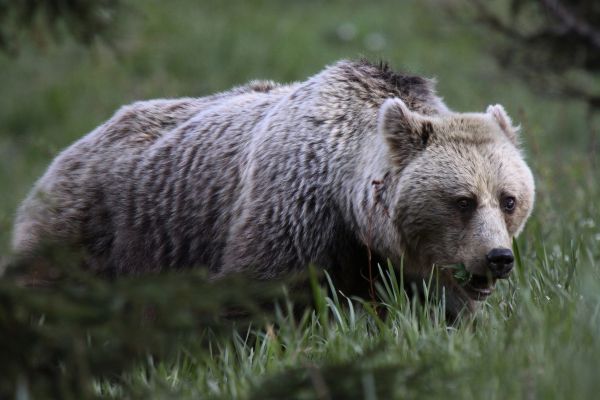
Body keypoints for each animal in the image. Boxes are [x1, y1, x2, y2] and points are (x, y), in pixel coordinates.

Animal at [10, 60, 536, 318]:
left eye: (509, 200)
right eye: (462, 201)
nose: (497, 258)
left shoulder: (407, 268)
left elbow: (441, 309)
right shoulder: (293, 217)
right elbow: (256, 296)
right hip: (97, 231)